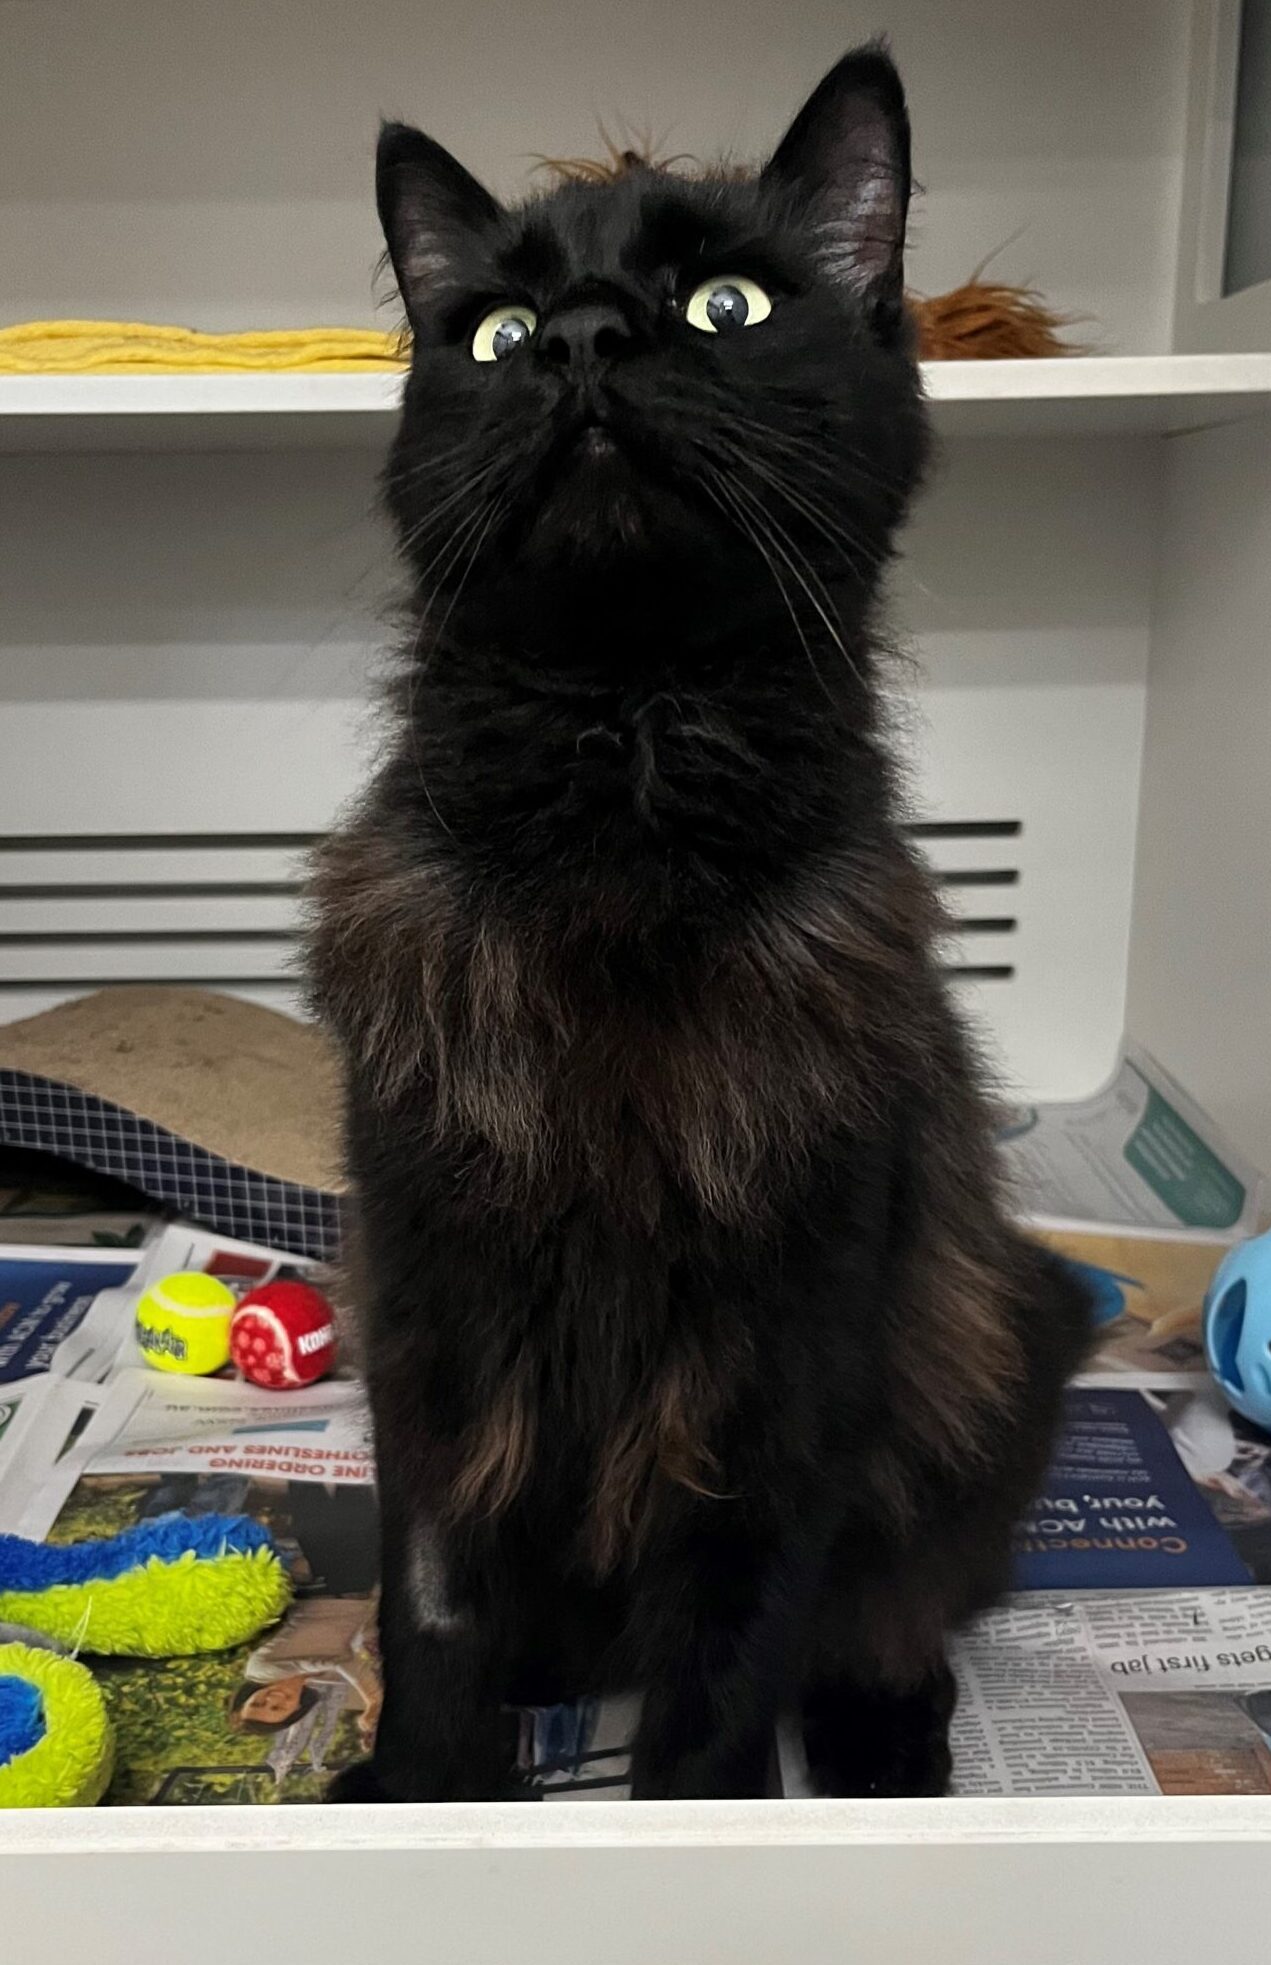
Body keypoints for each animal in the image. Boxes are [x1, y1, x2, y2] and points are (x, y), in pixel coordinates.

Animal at [310, 42, 1091, 1803]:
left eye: (725, 306)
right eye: (497, 332)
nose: (587, 342)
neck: (625, 785)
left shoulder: (787, 1340)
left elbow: (732, 1654)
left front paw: (694, 1813)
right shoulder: (433, 1303)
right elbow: (429, 1608)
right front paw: (418, 1797)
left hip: (979, 1342)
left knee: (893, 1595)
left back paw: (882, 1739)